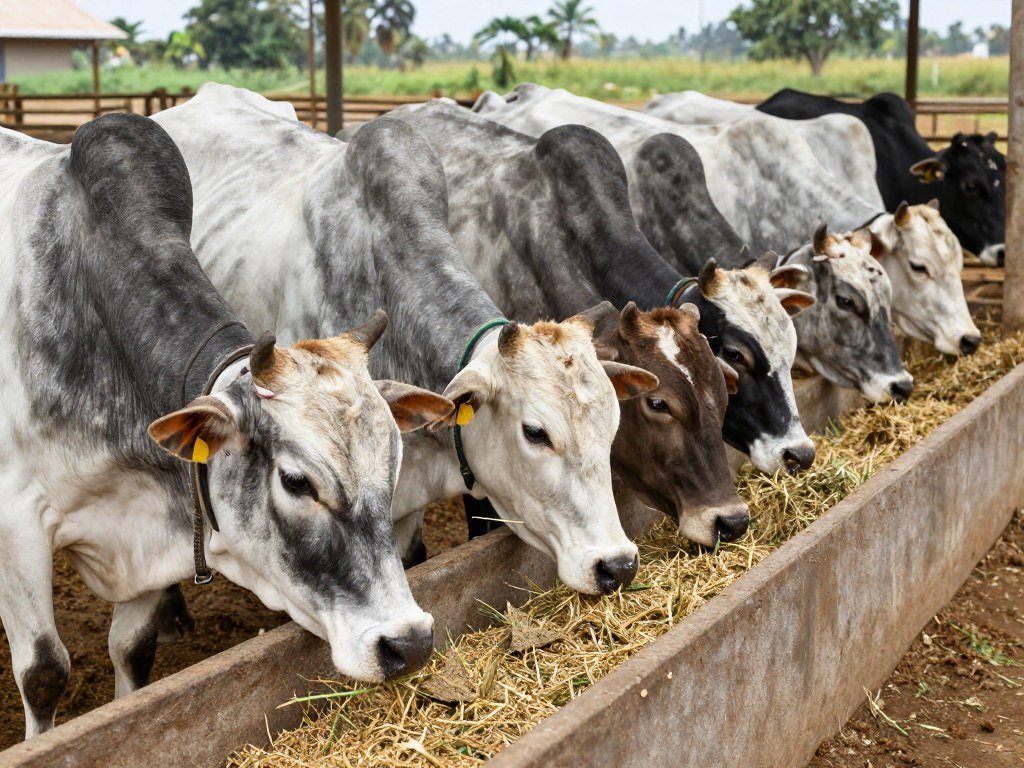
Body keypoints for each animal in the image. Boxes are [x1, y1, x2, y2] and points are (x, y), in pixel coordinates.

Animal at [0, 115, 446, 739]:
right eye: (296, 482)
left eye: (395, 466)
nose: (409, 643)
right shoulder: (15, 527)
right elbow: (44, 674)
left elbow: (133, 650)